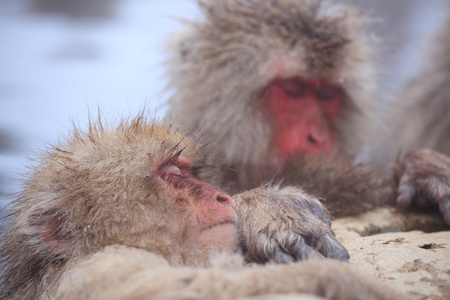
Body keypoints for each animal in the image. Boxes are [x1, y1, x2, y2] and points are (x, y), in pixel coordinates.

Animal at [0, 116, 412, 300]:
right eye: (169, 175)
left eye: (184, 170)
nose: (220, 195)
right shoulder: (101, 268)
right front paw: (344, 280)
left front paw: (269, 206)